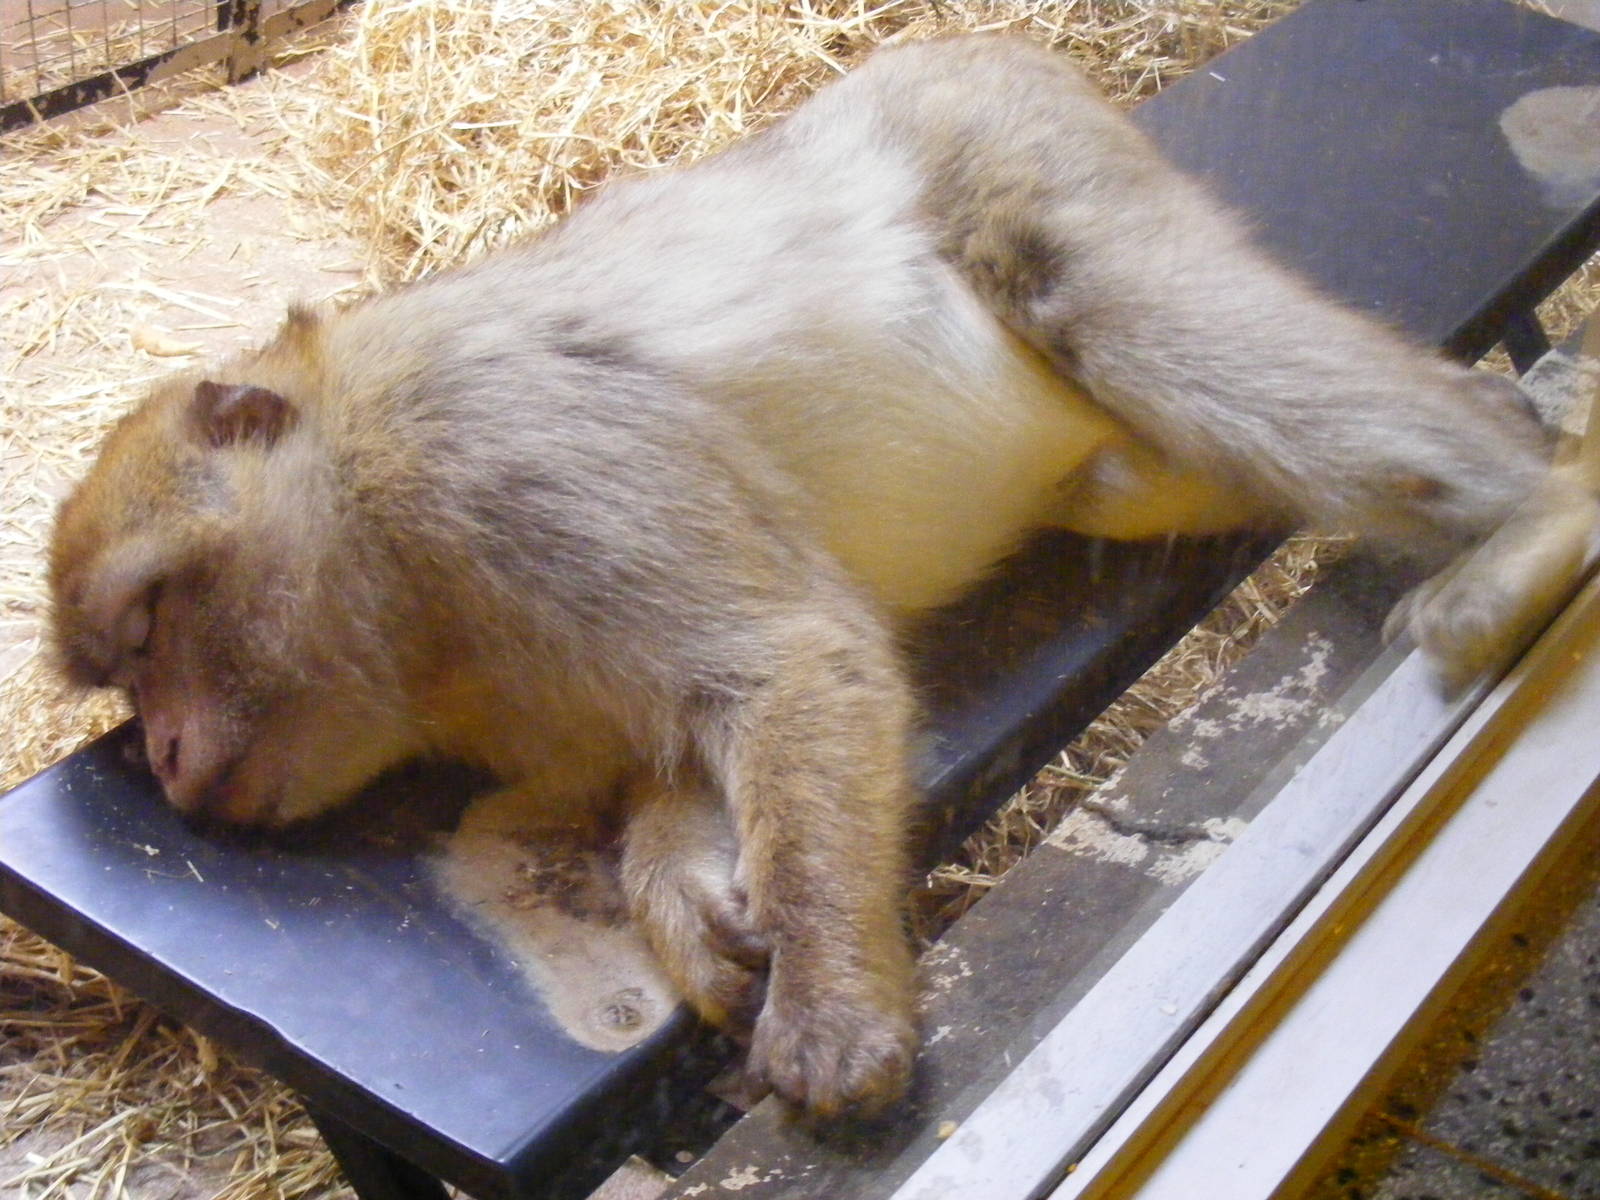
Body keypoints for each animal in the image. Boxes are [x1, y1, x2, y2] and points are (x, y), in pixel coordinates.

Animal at [47, 35, 1600, 1120]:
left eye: (149, 624)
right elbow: (690, 737)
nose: (167, 755)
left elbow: (793, 654)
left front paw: (826, 987)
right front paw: (699, 908)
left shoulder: (504, 458)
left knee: (1130, 311)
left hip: (1011, 151)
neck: (404, 593)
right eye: (124, 677)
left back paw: (1540, 513)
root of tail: (983, 53)